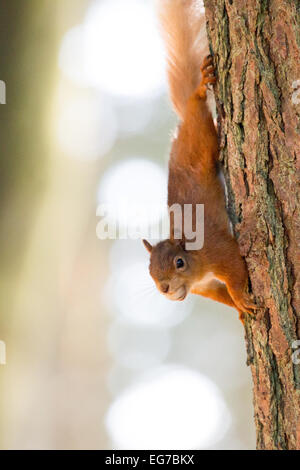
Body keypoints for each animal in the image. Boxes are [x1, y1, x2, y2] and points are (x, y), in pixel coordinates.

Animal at [142, 0, 256, 324]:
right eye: (150, 270)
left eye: (179, 262)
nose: (165, 288)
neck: (197, 271)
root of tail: (181, 124)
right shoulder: (206, 287)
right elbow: (222, 293)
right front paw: (239, 308)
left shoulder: (219, 250)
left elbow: (234, 269)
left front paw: (241, 297)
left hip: (201, 134)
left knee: (198, 105)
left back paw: (202, 86)